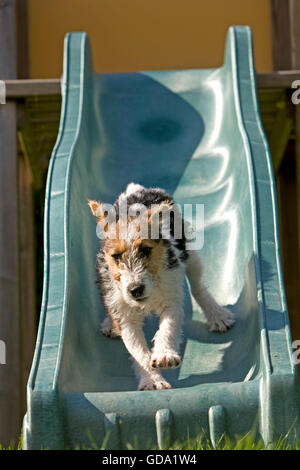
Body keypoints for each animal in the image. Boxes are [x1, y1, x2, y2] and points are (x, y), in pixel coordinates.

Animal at [89, 182, 234, 392]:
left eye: (146, 250)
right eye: (116, 256)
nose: (135, 290)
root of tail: (140, 191)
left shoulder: (171, 300)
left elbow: (168, 328)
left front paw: (165, 355)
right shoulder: (127, 317)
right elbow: (137, 350)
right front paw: (152, 380)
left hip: (190, 253)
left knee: (198, 287)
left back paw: (217, 315)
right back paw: (109, 323)